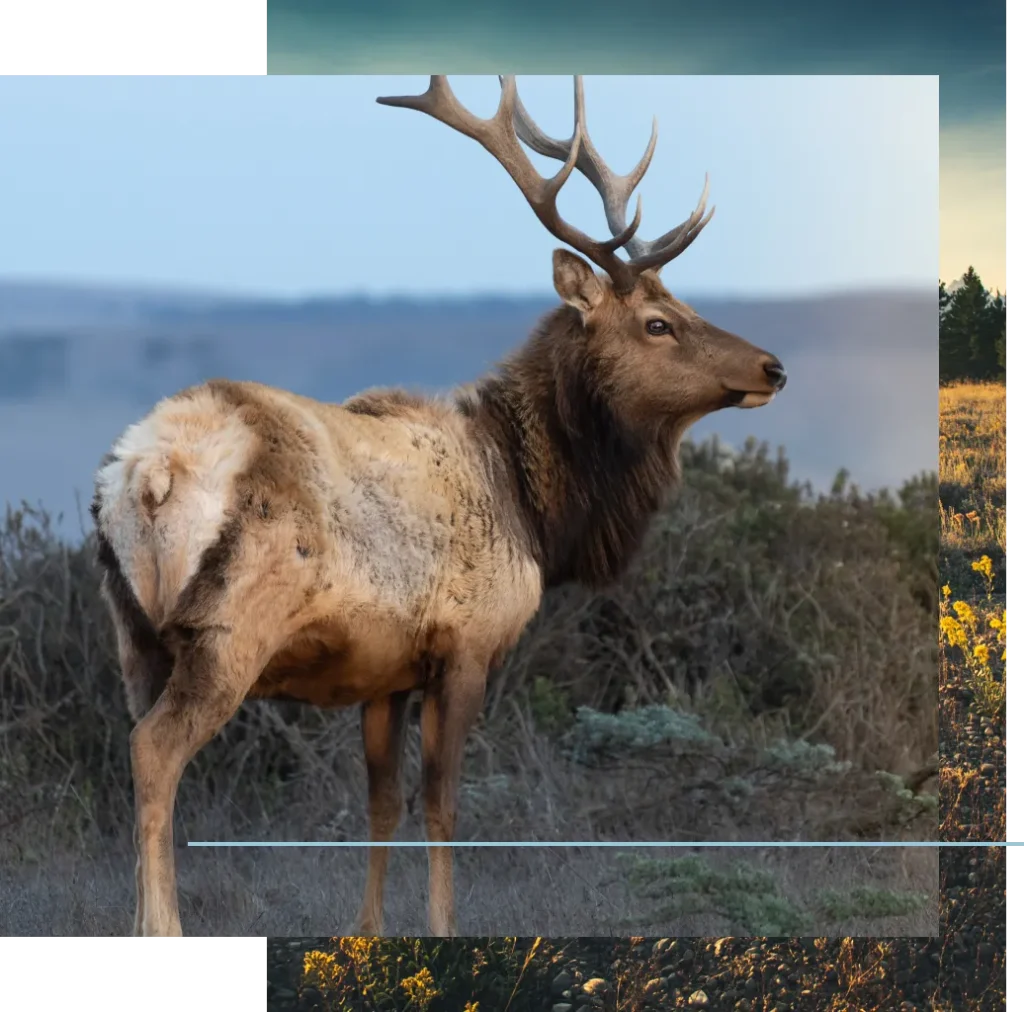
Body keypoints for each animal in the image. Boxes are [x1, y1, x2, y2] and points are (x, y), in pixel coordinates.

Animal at [92, 73, 786, 942]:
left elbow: (382, 805)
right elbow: (443, 807)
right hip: (227, 630)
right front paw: (443, 928)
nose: (772, 366)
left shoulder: (383, 670)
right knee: (155, 751)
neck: (535, 507)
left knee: (130, 740)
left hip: (132, 634)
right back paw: (163, 927)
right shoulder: (466, 645)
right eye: (658, 323)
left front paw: (368, 930)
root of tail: (147, 474)